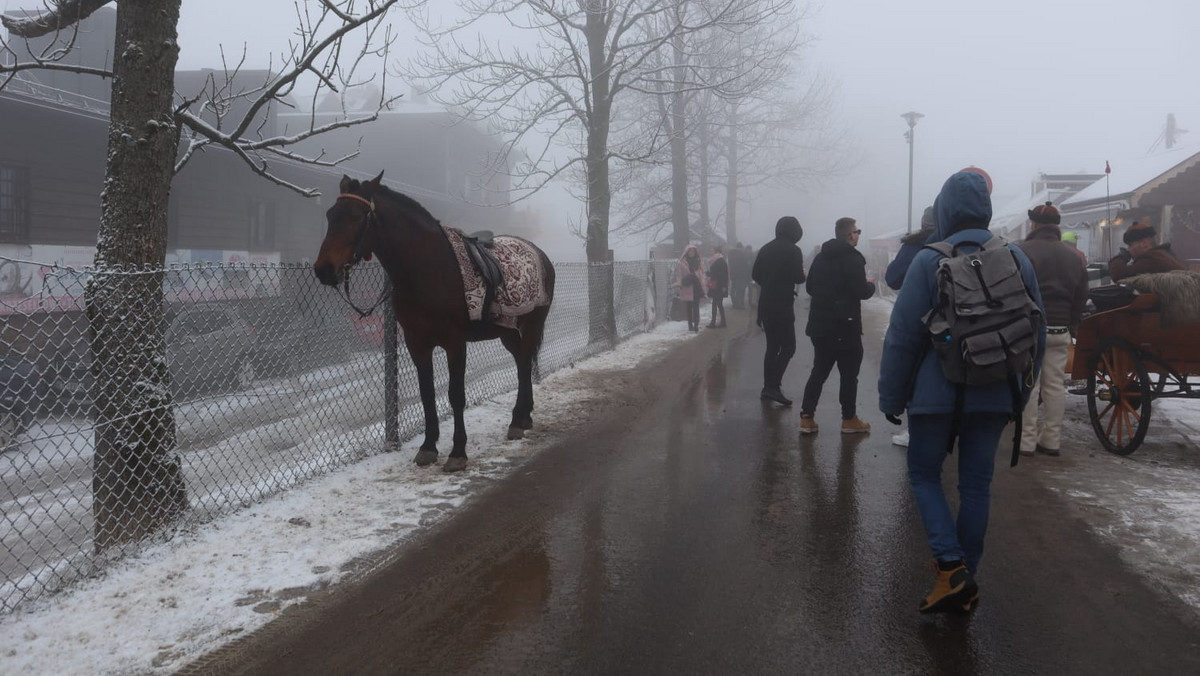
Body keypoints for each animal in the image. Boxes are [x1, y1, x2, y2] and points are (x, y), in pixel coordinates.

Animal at [309, 171, 552, 473]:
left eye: (355, 216)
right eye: (330, 215)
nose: (324, 270)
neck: (426, 268)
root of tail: (540, 253)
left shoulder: (455, 342)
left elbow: (455, 395)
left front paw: (458, 451)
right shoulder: (417, 342)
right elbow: (427, 394)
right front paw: (428, 447)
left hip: (532, 323)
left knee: (525, 361)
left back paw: (519, 419)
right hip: (506, 329)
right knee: (521, 361)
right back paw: (521, 417)